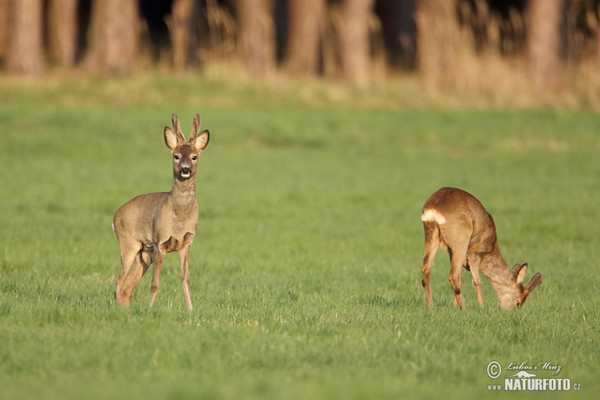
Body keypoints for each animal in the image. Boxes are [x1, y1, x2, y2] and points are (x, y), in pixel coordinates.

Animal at [113, 113, 210, 312]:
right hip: (128, 243)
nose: (185, 169)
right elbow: (154, 284)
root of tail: (114, 217)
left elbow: (186, 279)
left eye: (194, 156)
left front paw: (190, 309)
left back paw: (125, 310)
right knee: (118, 281)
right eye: (176, 156)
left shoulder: (187, 242)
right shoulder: (160, 241)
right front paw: (150, 309)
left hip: (144, 252)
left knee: (127, 286)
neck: (179, 218)